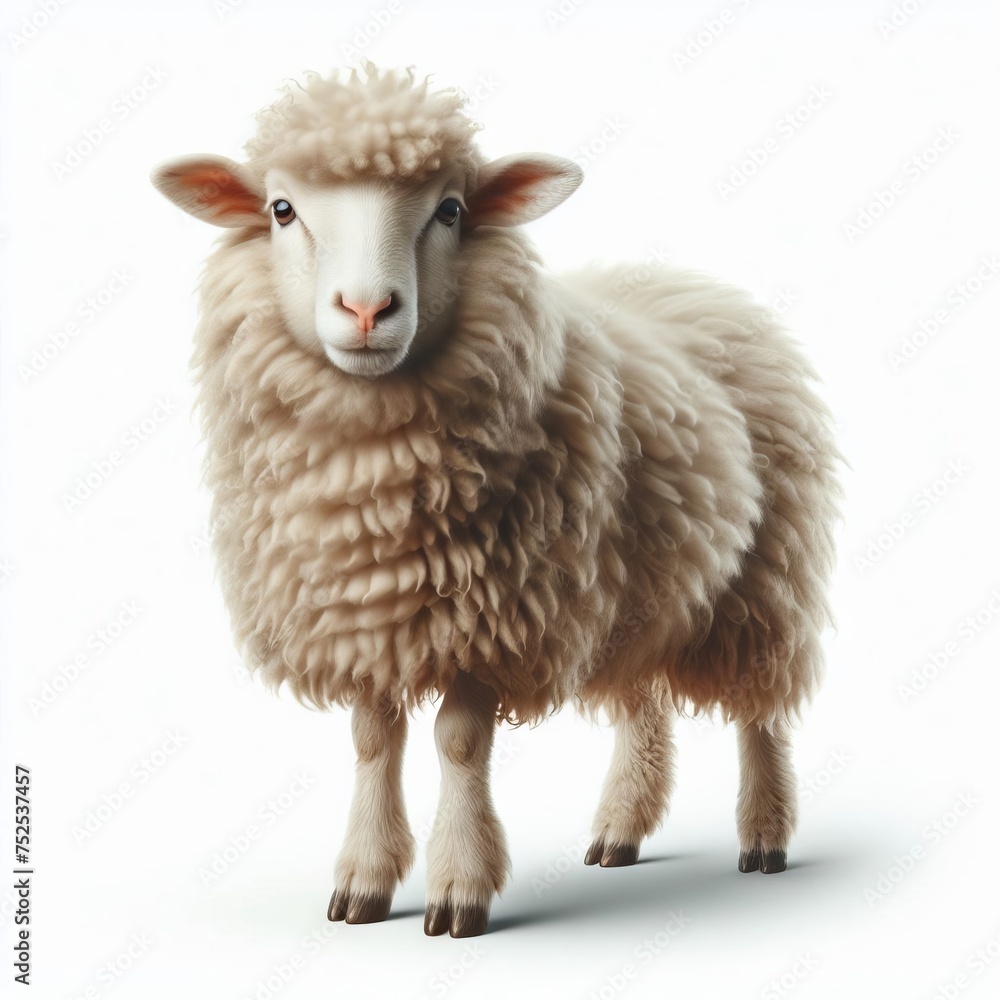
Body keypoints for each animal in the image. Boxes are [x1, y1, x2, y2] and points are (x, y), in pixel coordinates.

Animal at [151, 63, 840, 938]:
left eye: (450, 210)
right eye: (281, 209)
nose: (367, 309)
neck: (373, 484)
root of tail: (694, 285)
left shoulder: (492, 618)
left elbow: (457, 744)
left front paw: (459, 888)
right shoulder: (364, 618)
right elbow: (373, 739)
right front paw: (363, 882)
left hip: (763, 580)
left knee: (762, 713)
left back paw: (764, 836)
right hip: (641, 587)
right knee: (644, 705)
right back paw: (621, 829)